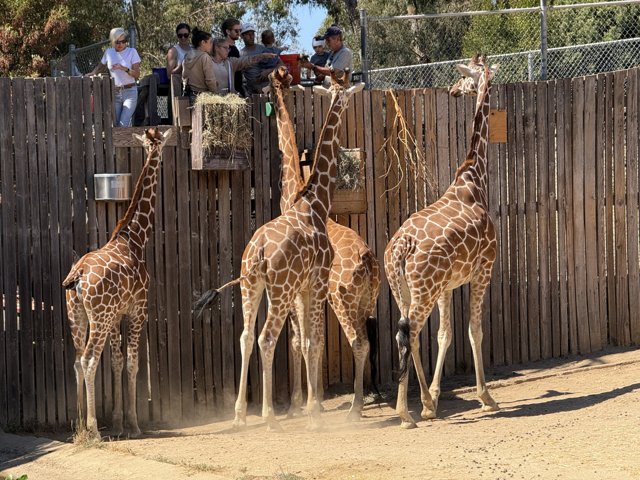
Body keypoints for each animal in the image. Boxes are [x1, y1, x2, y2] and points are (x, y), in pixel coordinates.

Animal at [63, 128, 172, 439]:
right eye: (160, 145)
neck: (135, 238)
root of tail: (78, 275)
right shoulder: (138, 310)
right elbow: (133, 363)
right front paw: (133, 425)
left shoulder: (116, 316)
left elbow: (117, 362)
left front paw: (119, 421)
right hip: (98, 317)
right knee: (89, 360)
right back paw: (93, 430)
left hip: (78, 315)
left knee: (77, 360)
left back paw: (78, 425)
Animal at [194, 70, 363, 431]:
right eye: (345, 93)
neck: (314, 202)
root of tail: (256, 252)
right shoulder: (315, 282)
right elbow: (313, 341)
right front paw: (313, 411)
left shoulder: (302, 287)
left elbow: (305, 341)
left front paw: (309, 406)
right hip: (281, 290)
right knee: (267, 337)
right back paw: (270, 417)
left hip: (252, 286)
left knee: (246, 336)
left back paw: (240, 416)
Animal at [266, 65, 380, 421]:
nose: (269, 82)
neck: (297, 193)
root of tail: (368, 262)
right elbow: (310, 341)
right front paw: (309, 402)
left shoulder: (302, 290)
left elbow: (300, 342)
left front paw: (302, 404)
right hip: (367, 300)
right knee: (373, 339)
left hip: (341, 300)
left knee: (356, 341)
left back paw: (353, 409)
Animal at [384, 55, 499, 429]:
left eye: (462, 79)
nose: (453, 91)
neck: (474, 179)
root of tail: (401, 247)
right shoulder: (484, 269)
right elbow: (475, 331)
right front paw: (486, 397)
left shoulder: (449, 285)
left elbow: (444, 334)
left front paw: (433, 397)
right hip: (424, 290)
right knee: (409, 334)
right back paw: (405, 412)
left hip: (404, 290)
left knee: (408, 334)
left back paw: (421, 405)